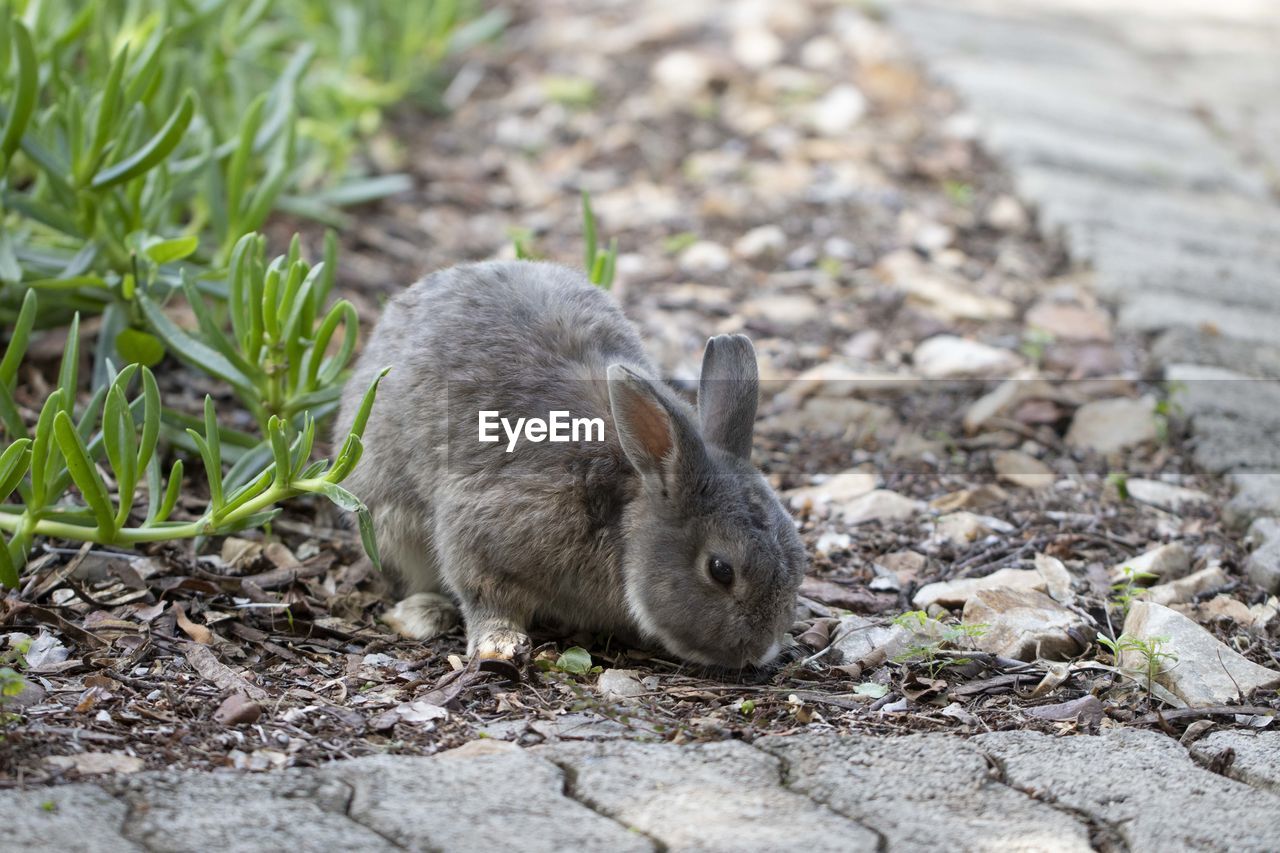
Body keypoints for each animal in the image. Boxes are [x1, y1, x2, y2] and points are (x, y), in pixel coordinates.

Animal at [335, 257, 803, 666]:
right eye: (721, 570)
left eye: (799, 561)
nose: (763, 652)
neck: (623, 515)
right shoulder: (479, 533)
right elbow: (483, 593)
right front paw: (500, 642)